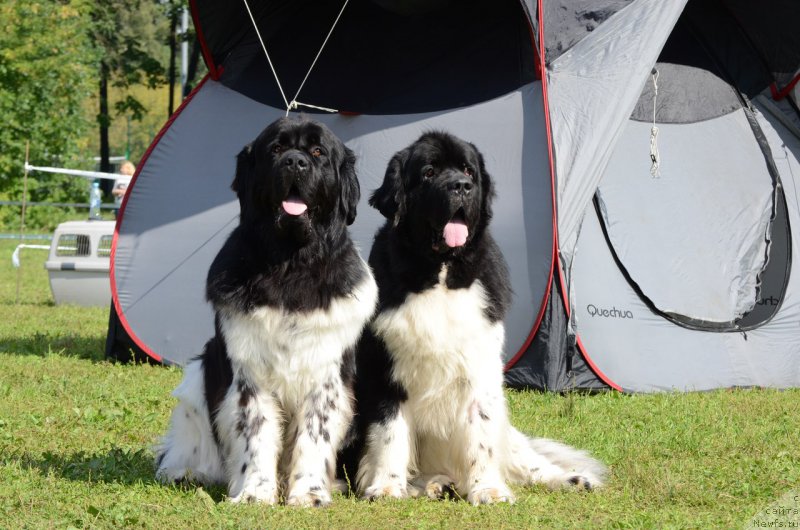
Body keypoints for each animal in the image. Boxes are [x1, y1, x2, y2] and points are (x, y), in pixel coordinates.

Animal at [159, 117, 382, 506]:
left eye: (318, 152)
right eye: (276, 150)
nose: (295, 162)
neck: (290, 265)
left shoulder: (325, 375)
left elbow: (314, 435)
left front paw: (309, 493)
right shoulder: (249, 373)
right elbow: (256, 434)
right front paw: (253, 492)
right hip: (199, 374)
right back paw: (187, 471)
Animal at [348, 131, 608, 504]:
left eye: (469, 171)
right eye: (428, 172)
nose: (461, 186)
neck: (440, 273)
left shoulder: (481, 369)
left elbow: (480, 437)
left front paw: (488, 489)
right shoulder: (385, 371)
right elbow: (389, 434)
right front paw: (385, 486)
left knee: (530, 461)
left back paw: (572, 479)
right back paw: (432, 484)